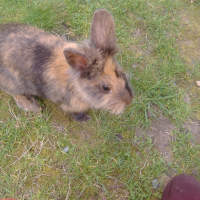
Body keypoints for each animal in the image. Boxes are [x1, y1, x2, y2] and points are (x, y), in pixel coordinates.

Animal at [0, 9, 134, 122]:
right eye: (105, 88)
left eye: (122, 73)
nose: (129, 101)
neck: (78, 87)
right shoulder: (69, 105)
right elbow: (74, 113)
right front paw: (85, 119)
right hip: (15, 84)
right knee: (16, 95)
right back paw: (32, 106)